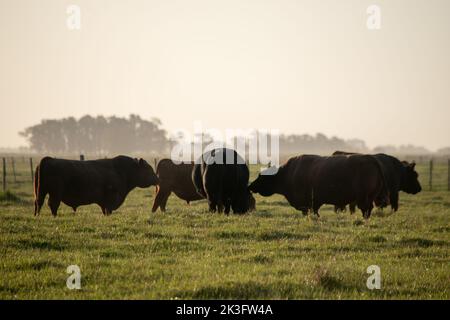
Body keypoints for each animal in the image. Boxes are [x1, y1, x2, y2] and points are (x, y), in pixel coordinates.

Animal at [248, 154, 388, 219]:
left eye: (262, 176)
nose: (250, 185)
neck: (288, 173)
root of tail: (371, 159)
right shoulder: (314, 204)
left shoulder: (308, 204)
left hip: (363, 198)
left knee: (366, 210)